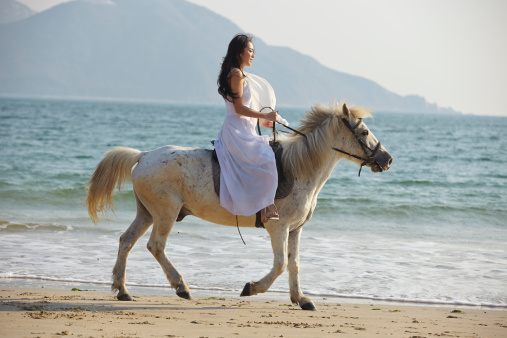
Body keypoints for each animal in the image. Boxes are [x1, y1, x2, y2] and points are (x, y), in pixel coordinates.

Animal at [86, 101, 392, 310]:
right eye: (364, 131)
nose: (387, 159)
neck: (300, 169)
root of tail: (144, 155)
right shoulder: (278, 227)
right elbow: (280, 264)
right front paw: (251, 288)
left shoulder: (295, 229)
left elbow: (294, 264)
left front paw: (301, 299)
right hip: (165, 213)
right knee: (155, 246)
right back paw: (181, 287)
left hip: (147, 212)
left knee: (126, 241)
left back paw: (122, 290)